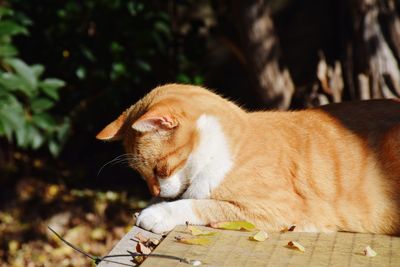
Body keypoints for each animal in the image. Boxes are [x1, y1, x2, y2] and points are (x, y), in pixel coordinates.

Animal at [96, 83, 400, 234]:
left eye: (159, 169)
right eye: (141, 175)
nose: (155, 192)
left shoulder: (279, 208)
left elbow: (201, 205)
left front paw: (156, 213)